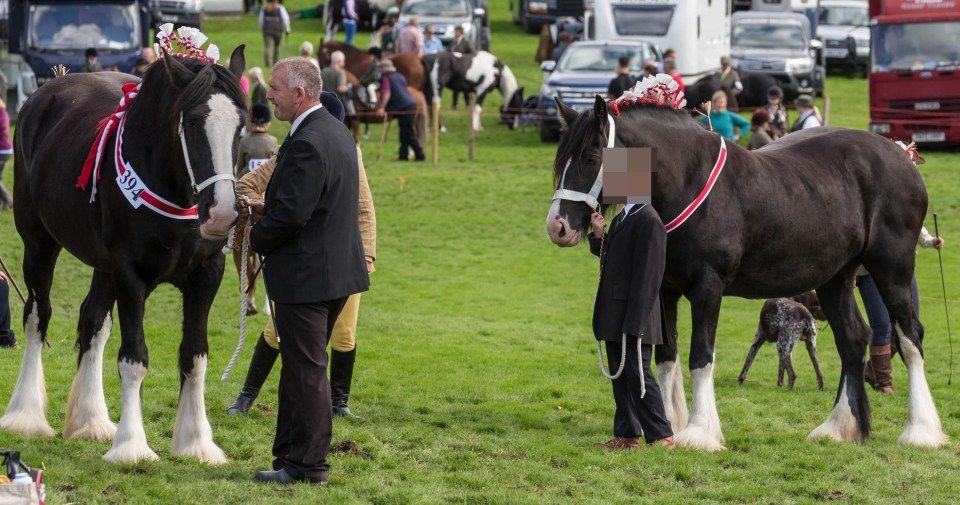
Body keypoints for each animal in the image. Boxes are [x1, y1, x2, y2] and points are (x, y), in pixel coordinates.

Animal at [1, 31, 248, 462]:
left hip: (103, 266)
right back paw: (25, 415)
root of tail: (47, 90)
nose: (221, 213)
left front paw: (197, 442)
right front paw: (132, 445)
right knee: (37, 315)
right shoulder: (131, 274)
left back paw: (91, 421)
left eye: (241, 126)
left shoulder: (206, 276)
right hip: (39, 243)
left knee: (94, 321)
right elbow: (134, 358)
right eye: (191, 122)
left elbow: (194, 356)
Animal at [544, 77, 948, 450]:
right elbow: (667, 356)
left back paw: (920, 431)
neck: (687, 182)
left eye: (591, 158)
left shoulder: (707, 287)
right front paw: (669, 427)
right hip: (835, 278)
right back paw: (837, 428)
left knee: (910, 337)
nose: (558, 227)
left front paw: (699, 433)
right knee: (853, 340)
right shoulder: (664, 290)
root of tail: (900, 155)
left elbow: (701, 355)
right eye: (561, 160)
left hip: (892, 268)